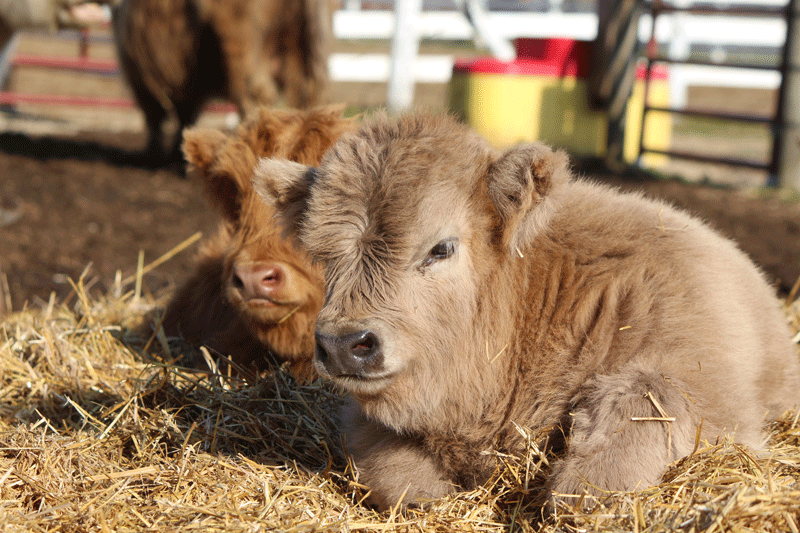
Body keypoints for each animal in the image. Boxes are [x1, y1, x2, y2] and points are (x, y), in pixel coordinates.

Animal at [111, 0, 330, 165]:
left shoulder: (139, 75)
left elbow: (155, 117)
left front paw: (155, 155)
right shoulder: (190, 85)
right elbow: (184, 118)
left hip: (242, 46)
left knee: (257, 97)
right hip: (299, 52)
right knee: (303, 101)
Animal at [252, 111, 800, 509]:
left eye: (441, 248)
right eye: (324, 255)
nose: (345, 345)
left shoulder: (702, 385)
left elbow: (627, 430)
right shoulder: (367, 418)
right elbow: (401, 481)